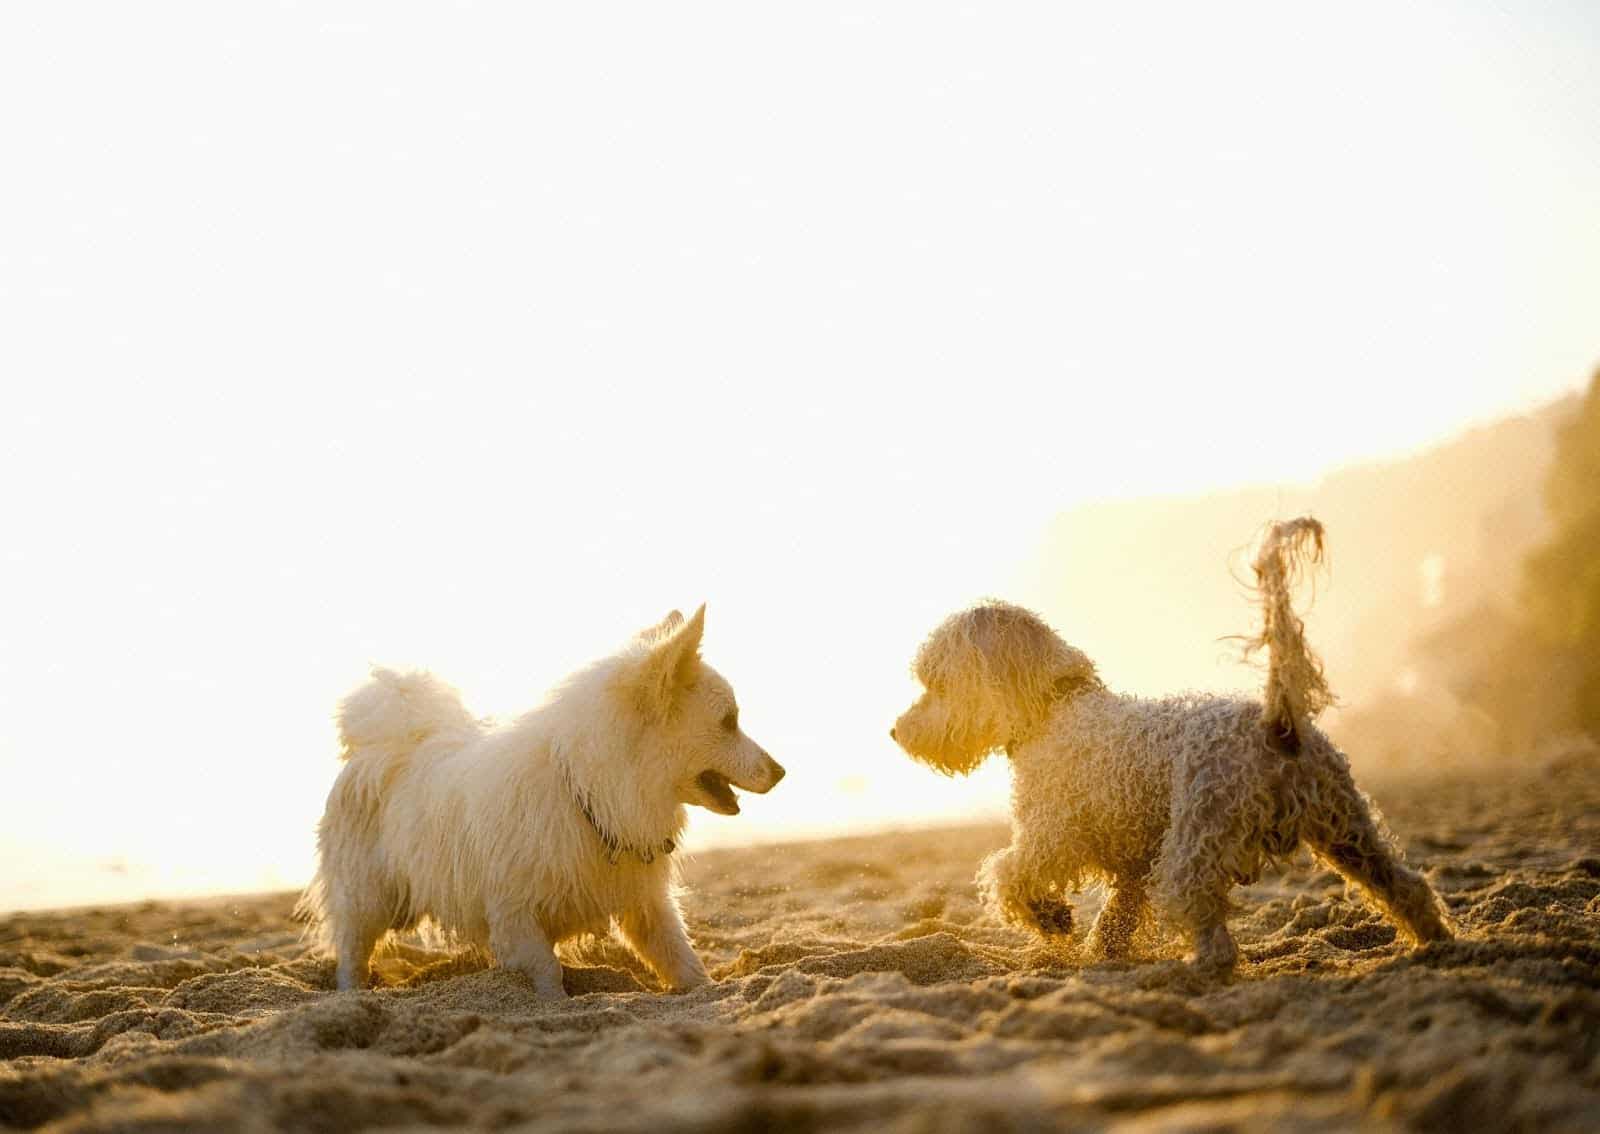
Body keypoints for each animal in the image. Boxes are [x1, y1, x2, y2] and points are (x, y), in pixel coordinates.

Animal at [300, 604, 787, 998]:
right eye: (730, 721)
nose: (781, 771)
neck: (592, 795)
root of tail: (379, 745)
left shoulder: (646, 907)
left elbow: (682, 959)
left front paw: (708, 990)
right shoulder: (514, 920)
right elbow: (549, 974)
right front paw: (555, 1001)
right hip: (365, 900)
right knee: (353, 954)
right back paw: (351, 995)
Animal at [896, 518, 1459, 966]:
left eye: (937, 682)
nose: (896, 732)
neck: (1056, 707)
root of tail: (1275, 722)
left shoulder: (1050, 833)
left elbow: (1008, 874)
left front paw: (1051, 918)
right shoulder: (1132, 862)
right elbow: (1116, 913)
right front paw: (1101, 949)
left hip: (1199, 836)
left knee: (1205, 918)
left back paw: (1201, 970)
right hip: (1347, 828)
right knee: (1405, 885)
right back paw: (1436, 942)